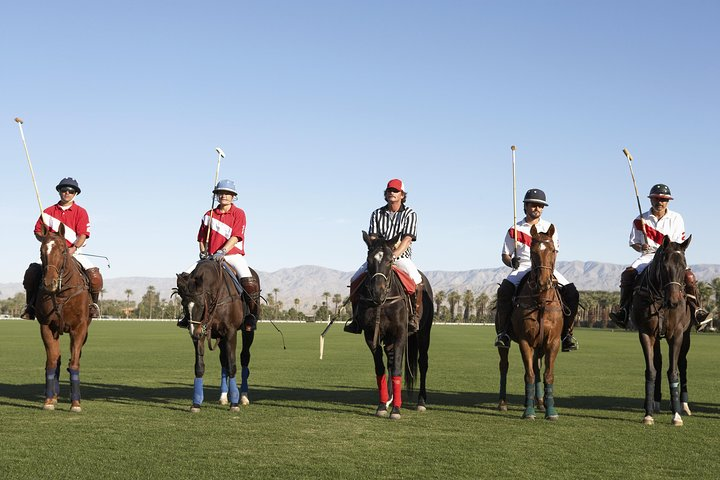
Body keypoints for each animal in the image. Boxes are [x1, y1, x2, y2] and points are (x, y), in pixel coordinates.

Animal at [32, 223, 93, 410]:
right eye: (41, 250)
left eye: (63, 250)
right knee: (56, 360)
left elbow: (74, 363)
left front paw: (76, 403)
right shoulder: (46, 326)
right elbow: (51, 362)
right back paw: (54, 395)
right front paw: (48, 400)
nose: (49, 283)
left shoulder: (79, 329)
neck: (61, 293)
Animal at [176, 258, 260, 412]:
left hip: (247, 331)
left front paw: (234, 403)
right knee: (223, 361)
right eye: (184, 304)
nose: (194, 334)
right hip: (220, 337)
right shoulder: (203, 331)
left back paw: (243, 396)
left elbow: (233, 365)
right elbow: (199, 366)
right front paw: (196, 403)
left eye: (201, 304)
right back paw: (223, 396)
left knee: (244, 357)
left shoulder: (230, 332)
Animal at [354, 232, 434, 420]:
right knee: (390, 362)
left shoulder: (400, 334)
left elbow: (397, 369)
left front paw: (396, 410)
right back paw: (389, 398)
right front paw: (382, 405)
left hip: (424, 333)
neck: (383, 303)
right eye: (368, 260)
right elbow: (381, 369)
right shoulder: (371, 336)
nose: (377, 293)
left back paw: (421, 401)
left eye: (390, 260)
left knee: (422, 362)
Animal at [500, 225, 564, 420]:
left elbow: (547, 375)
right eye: (533, 251)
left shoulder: (553, 342)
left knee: (537, 369)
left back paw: (540, 403)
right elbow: (528, 374)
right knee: (504, 366)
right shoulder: (525, 341)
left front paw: (550, 410)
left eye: (553, 250)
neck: (541, 301)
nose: (543, 282)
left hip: (540, 345)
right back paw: (503, 403)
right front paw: (528, 411)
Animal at [632, 234, 696, 426]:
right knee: (658, 363)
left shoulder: (676, 335)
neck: (661, 298)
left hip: (686, 336)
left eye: (683, 265)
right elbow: (651, 370)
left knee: (682, 363)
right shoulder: (646, 333)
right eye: (664, 265)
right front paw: (648, 413)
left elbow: (673, 371)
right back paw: (656, 402)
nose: (674, 301)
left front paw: (676, 415)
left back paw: (684, 405)